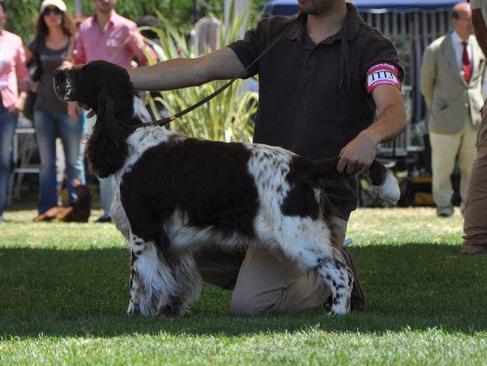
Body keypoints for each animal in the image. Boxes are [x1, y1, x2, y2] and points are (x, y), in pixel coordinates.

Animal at [53, 60, 400, 318]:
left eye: (85, 70)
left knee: (340, 272)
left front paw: (136, 315)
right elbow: (171, 280)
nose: (57, 73)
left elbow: (139, 281)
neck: (131, 136)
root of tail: (302, 164)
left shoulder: (143, 230)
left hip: (297, 235)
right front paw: (171, 310)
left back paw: (337, 313)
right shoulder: (171, 240)